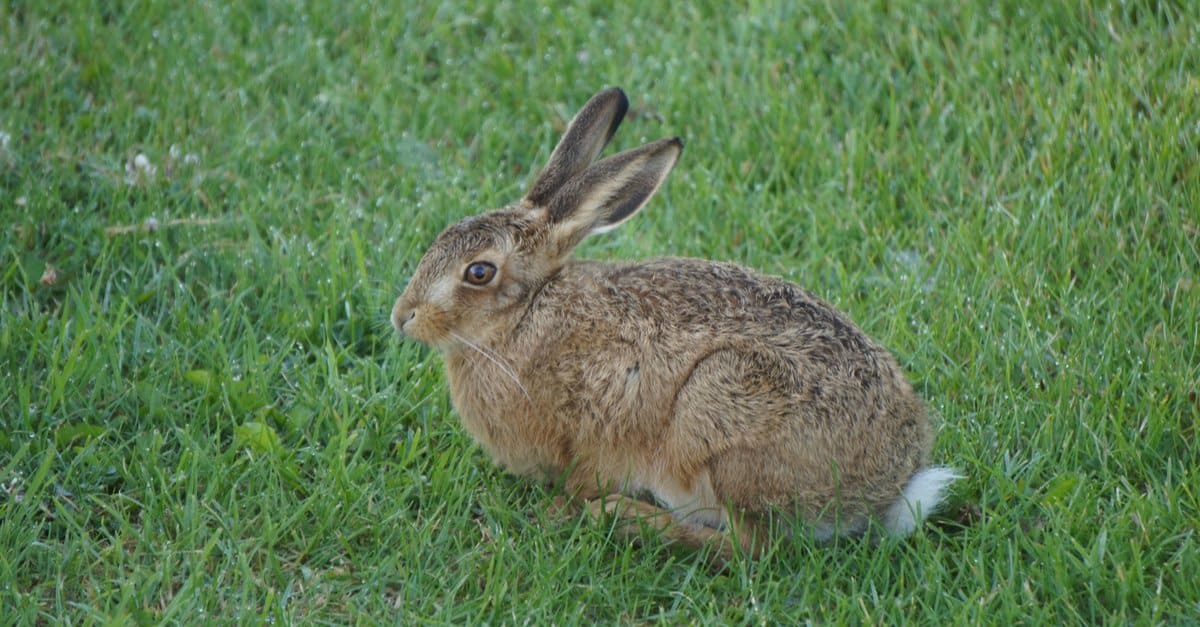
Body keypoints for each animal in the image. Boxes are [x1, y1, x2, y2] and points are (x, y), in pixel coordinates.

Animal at [391, 87, 959, 561]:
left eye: (479, 272)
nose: (403, 317)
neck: (522, 317)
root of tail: (890, 486)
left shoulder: (599, 422)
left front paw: (559, 514)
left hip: (719, 417)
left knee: (753, 548)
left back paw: (627, 520)